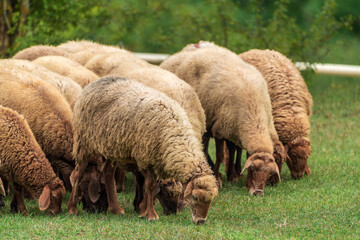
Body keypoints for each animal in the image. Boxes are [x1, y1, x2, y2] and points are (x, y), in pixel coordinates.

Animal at [68, 77, 218, 225]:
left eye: (211, 200)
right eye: (195, 197)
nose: (201, 221)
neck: (174, 130)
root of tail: (96, 82)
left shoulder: (156, 160)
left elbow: (152, 186)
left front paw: (143, 212)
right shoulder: (145, 157)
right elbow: (150, 185)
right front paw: (150, 215)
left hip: (112, 147)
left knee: (108, 173)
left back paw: (116, 209)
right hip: (84, 142)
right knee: (77, 174)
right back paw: (72, 209)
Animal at [160, 42, 284, 195]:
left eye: (268, 173)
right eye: (253, 170)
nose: (258, 192)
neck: (254, 110)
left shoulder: (232, 129)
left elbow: (233, 150)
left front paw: (232, 175)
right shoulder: (220, 129)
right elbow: (220, 155)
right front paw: (218, 179)